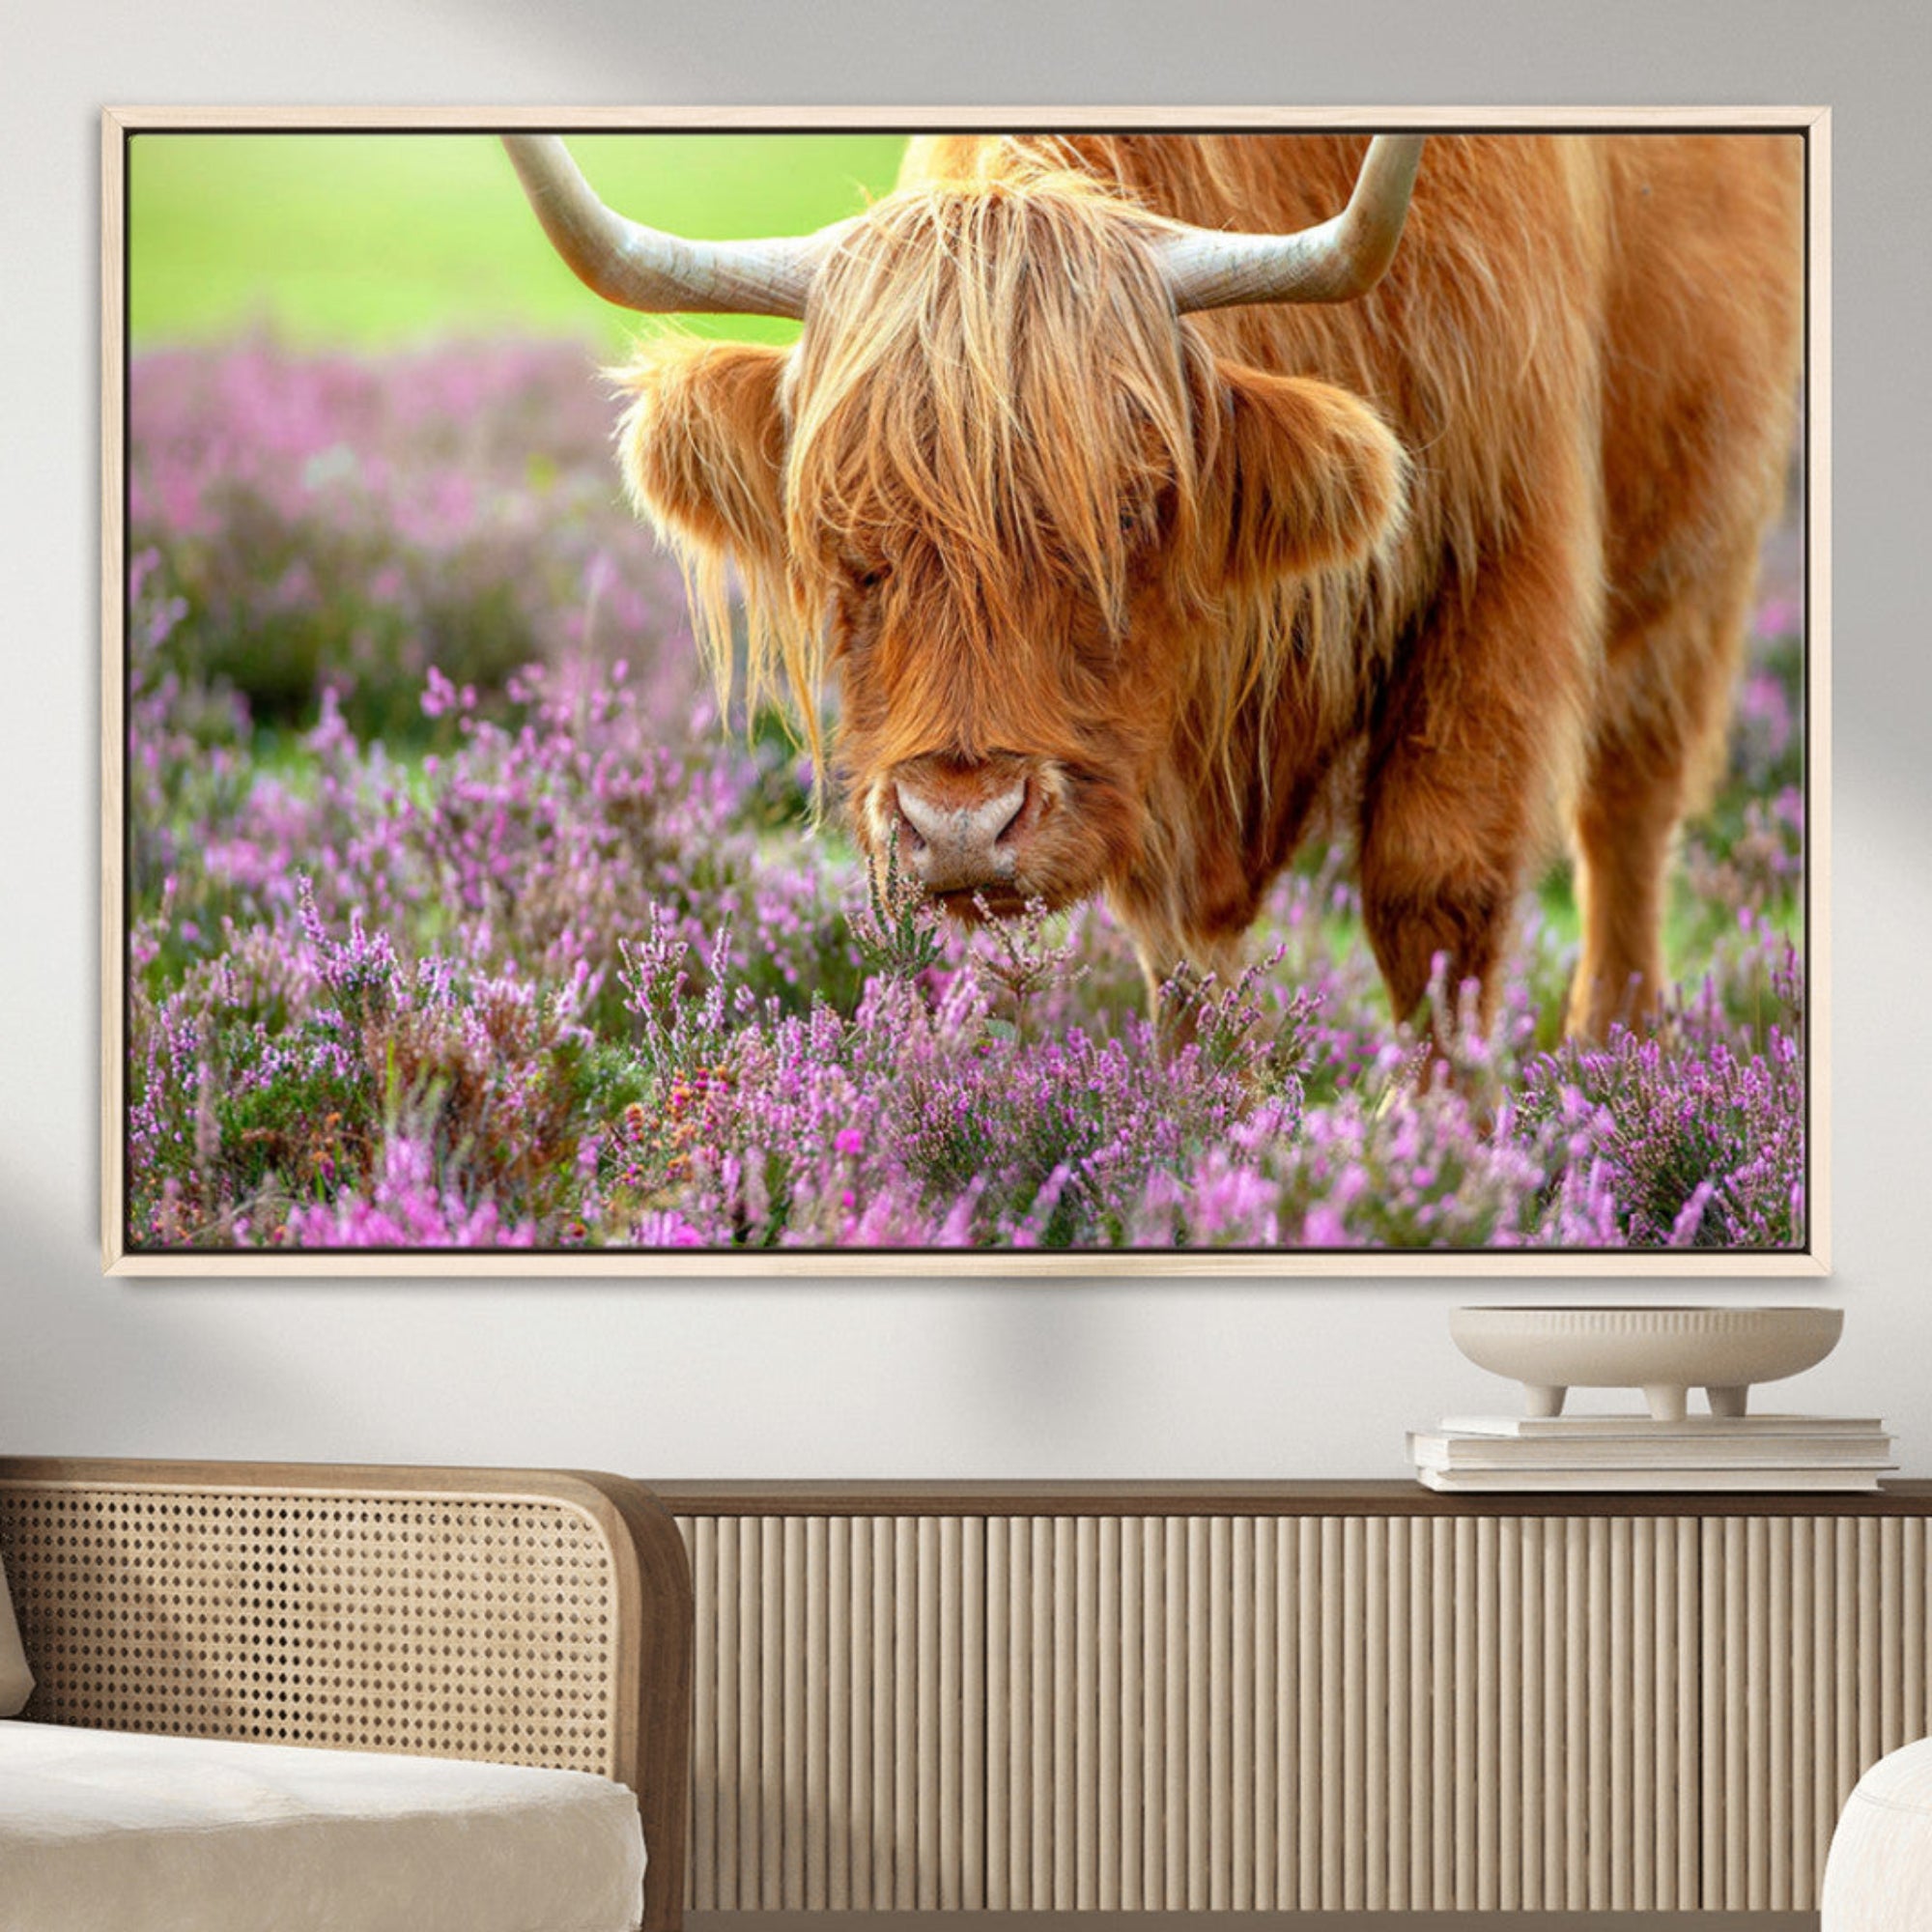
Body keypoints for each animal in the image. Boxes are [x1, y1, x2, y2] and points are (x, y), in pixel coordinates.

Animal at [503, 130, 1803, 1044]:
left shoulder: (1504, 552)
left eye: (1128, 512)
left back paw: (1611, 1050)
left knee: (1626, 814)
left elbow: (1436, 891)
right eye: (841, 533)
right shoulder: (1153, 750)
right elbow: (1178, 955)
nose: (959, 823)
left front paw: (1438, 1163)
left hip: (1702, 551)